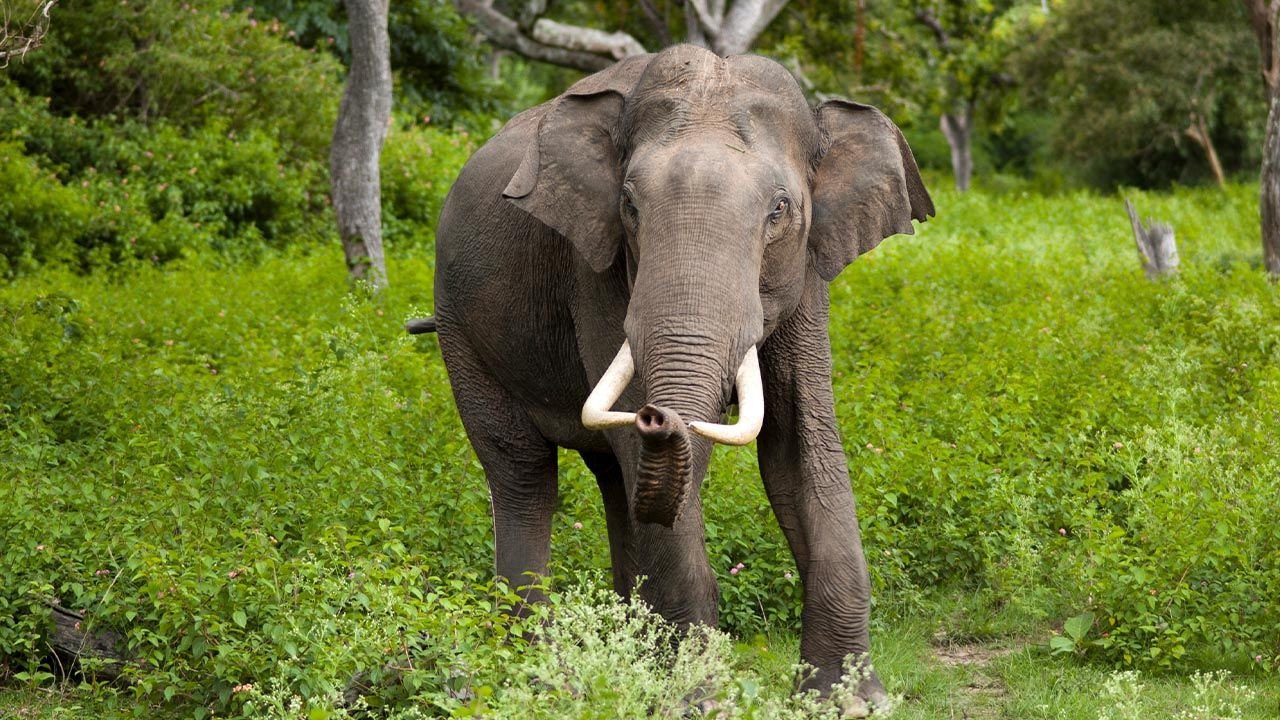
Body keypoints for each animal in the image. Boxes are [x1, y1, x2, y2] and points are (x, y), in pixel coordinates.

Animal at [424, 41, 936, 702]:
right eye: (629, 205)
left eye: (780, 210)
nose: (656, 415)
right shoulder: (596, 267)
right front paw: (698, 699)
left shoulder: (808, 273)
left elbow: (800, 448)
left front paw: (848, 701)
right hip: (459, 327)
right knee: (523, 474)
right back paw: (540, 674)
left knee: (613, 480)